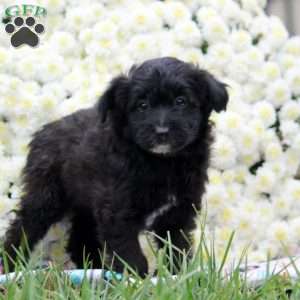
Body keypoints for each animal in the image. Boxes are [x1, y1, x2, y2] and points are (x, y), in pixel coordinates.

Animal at [2, 56, 227, 276]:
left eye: (181, 101)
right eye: (142, 105)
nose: (161, 132)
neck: (162, 162)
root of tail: (43, 131)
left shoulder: (179, 212)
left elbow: (178, 247)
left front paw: (179, 276)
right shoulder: (117, 211)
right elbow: (130, 253)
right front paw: (134, 280)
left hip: (85, 202)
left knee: (80, 240)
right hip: (46, 196)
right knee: (24, 227)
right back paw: (10, 266)